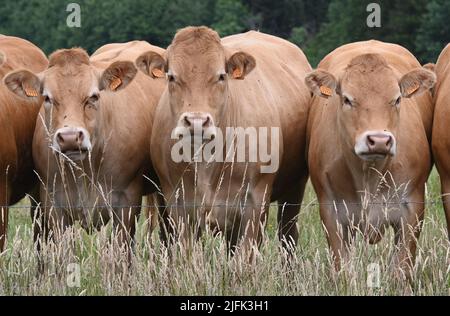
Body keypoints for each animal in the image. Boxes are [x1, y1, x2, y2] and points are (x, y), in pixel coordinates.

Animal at [134, 25, 310, 256]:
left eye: (220, 76)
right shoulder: (178, 203)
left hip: (294, 191)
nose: (197, 121)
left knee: (288, 236)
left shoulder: (254, 204)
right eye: (171, 77)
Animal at [306, 40, 436, 276]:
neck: (368, 175)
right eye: (347, 99)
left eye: (397, 99)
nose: (379, 140)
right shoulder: (331, 212)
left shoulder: (412, 210)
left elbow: (401, 268)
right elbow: (343, 269)